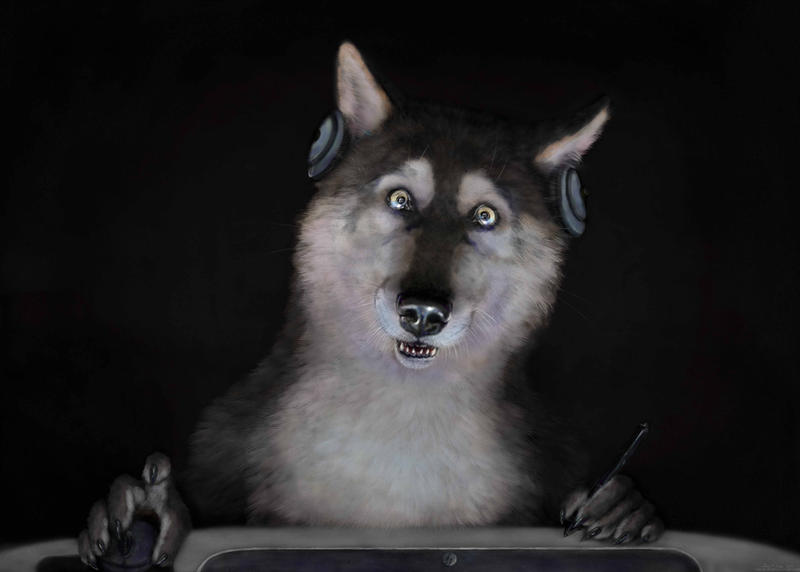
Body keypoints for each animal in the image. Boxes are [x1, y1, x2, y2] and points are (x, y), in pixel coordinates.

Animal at [77, 42, 662, 569]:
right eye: (401, 200)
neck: (400, 426)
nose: (423, 314)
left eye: (484, 216)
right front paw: (146, 506)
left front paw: (621, 506)